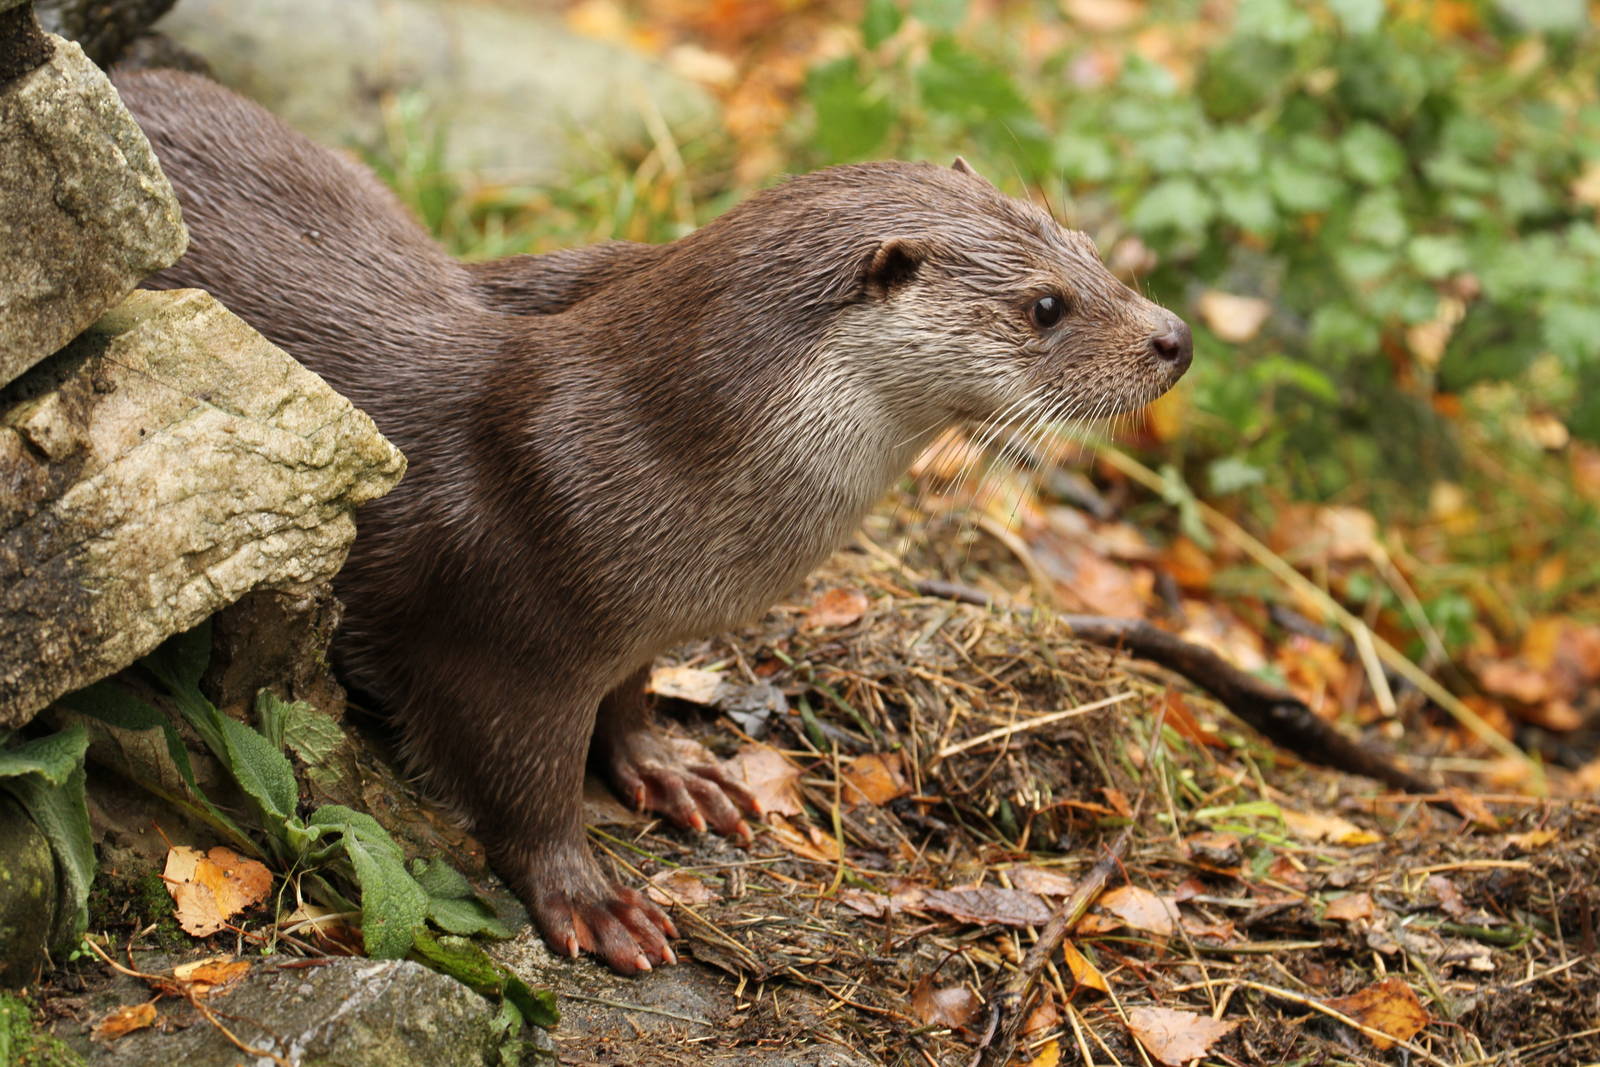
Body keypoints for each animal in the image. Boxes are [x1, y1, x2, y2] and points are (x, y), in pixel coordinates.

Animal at [113, 69, 1191, 974]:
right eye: (1045, 305)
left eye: (1087, 250)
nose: (1174, 337)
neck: (654, 449)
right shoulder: (503, 626)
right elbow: (522, 785)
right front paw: (590, 899)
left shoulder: (634, 624)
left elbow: (628, 696)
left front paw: (671, 771)